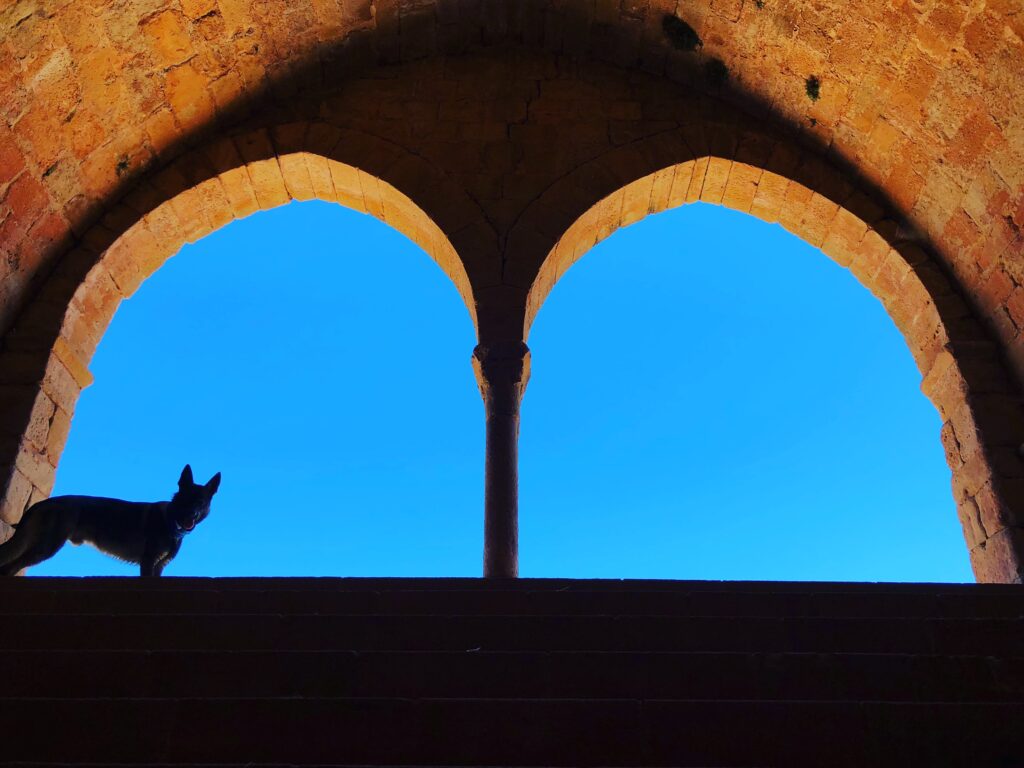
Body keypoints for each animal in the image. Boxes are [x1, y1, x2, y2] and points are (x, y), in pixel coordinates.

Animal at [0, 462, 220, 577]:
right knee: (11, 566)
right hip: (47, 546)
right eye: (185, 498)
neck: (170, 522)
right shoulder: (148, 562)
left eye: (200, 502)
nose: (190, 516)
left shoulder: (159, 567)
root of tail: (44, 503)